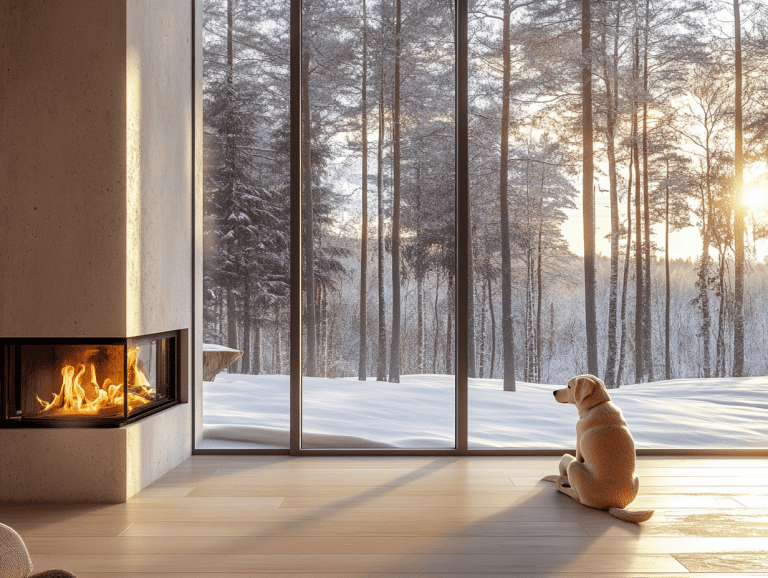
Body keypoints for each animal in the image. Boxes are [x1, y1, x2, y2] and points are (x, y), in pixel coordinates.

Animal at [540, 374, 656, 520]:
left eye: (569, 386)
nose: (554, 392)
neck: (597, 405)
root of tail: (612, 505)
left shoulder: (578, 447)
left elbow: (571, 457)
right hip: (637, 478)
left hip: (574, 467)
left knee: (575, 493)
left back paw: (562, 485)